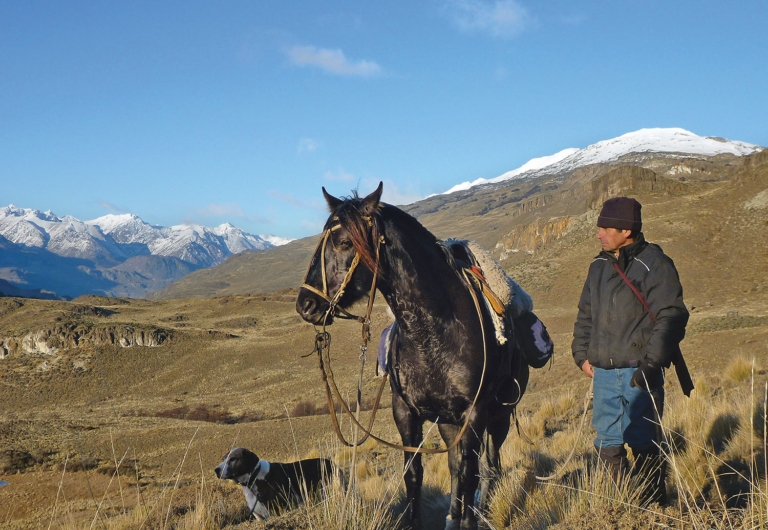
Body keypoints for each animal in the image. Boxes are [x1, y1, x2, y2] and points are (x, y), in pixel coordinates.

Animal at [296, 183, 528, 528]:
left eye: (344, 242)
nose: (306, 305)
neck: (433, 333)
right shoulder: (405, 412)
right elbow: (415, 475)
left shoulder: (474, 414)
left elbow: (470, 474)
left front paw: (470, 520)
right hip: (448, 423)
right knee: (455, 466)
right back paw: (451, 517)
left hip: (499, 416)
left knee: (488, 465)